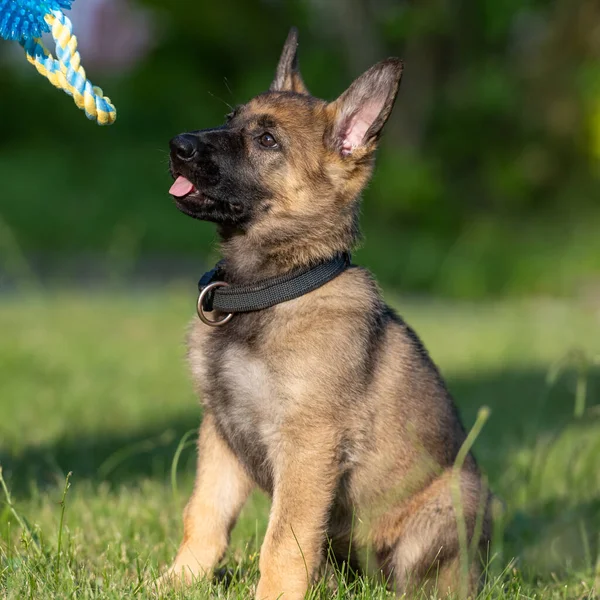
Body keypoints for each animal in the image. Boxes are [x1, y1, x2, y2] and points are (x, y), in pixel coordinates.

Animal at [162, 28, 490, 600]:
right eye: (229, 118)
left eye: (267, 141)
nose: (178, 145)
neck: (269, 287)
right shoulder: (220, 434)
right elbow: (203, 514)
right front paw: (177, 581)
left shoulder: (308, 447)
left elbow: (282, 542)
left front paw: (272, 595)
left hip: (454, 502)